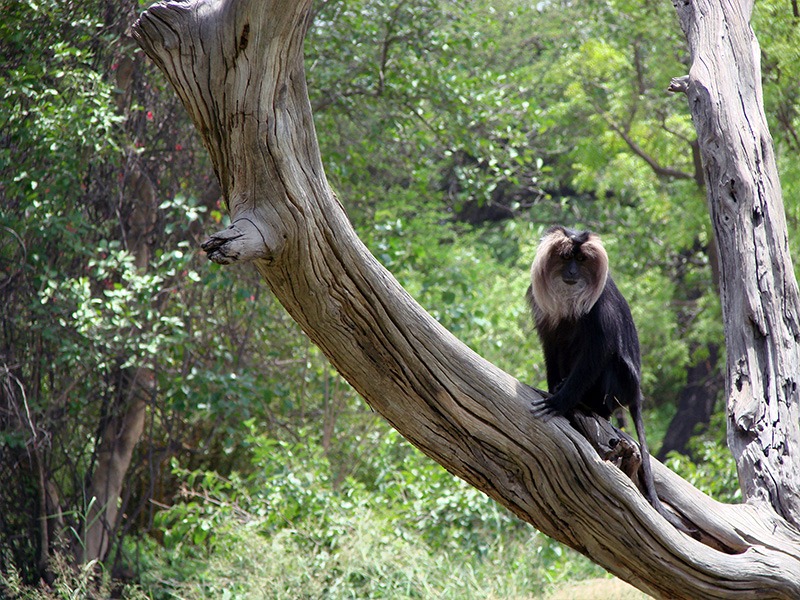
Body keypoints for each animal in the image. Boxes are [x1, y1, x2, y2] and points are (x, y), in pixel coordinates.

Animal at [528, 224, 672, 520]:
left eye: (581, 260)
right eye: (566, 257)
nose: (572, 273)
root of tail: (637, 396)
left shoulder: (600, 307)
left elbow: (597, 354)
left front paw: (559, 402)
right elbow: (551, 344)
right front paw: (553, 390)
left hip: (620, 387)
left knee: (610, 365)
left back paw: (586, 405)